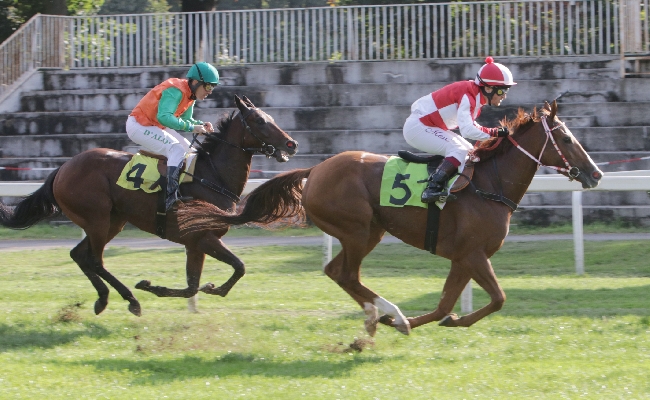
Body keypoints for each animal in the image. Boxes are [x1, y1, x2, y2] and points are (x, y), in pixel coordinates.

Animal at [0, 95, 298, 318]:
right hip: (97, 219)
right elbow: (238, 267)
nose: (291, 144)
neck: (211, 176)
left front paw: (162, 287)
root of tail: (62, 168)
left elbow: (193, 286)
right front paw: (205, 288)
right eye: (259, 120)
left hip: (114, 220)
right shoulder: (204, 237)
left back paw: (104, 298)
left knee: (79, 255)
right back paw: (130, 299)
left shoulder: (195, 243)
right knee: (95, 259)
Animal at [178, 100, 604, 334]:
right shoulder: (473, 254)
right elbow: (497, 299)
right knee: (347, 274)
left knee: (337, 273)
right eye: (566, 138)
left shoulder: (463, 257)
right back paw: (389, 314)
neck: (489, 183)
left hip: (369, 232)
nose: (596, 174)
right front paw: (420, 322)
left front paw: (445, 321)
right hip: (357, 229)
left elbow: (447, 305)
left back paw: (382, 316)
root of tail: (316, 169)